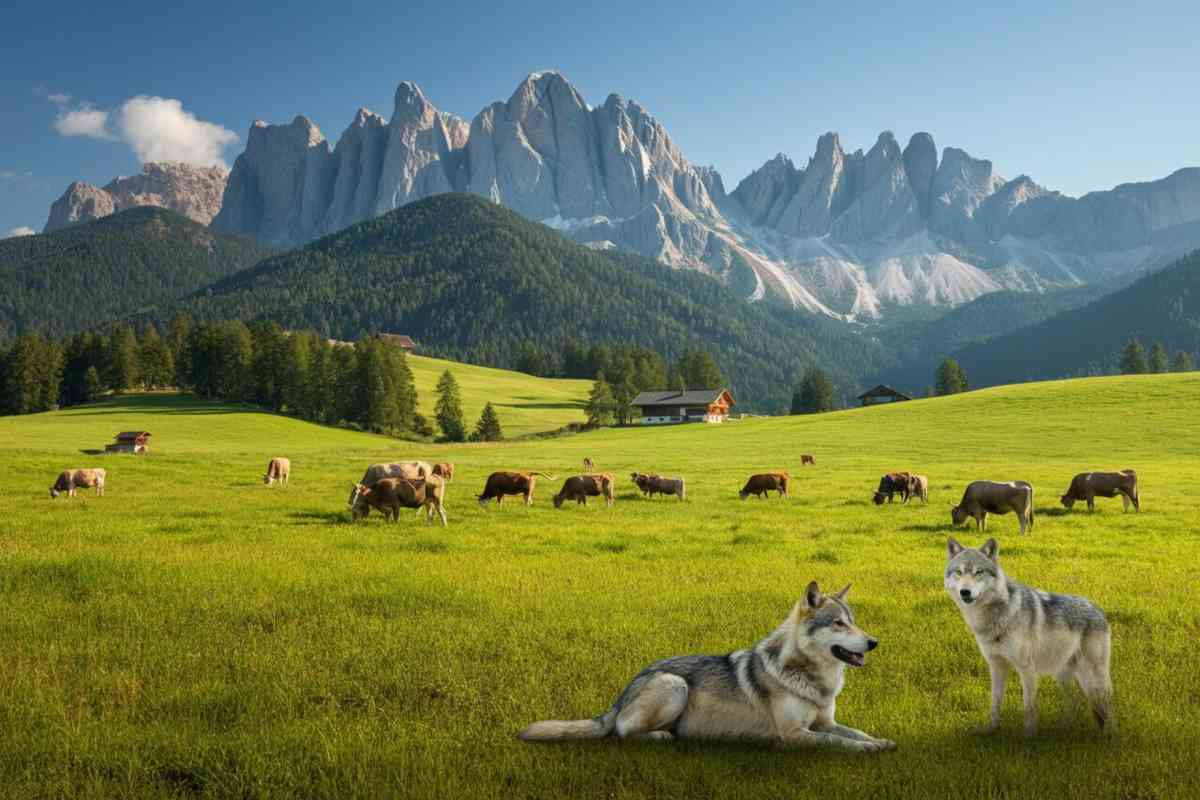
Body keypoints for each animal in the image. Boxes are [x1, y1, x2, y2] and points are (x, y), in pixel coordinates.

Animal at [517, 582, 895, 752]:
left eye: (854, 622)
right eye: (838, 624)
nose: (874, 642)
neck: (814, 679)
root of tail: (620, 695)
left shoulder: (825, 722)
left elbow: (853, 732)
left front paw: (881, 741)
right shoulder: (793, 735)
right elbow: (837, 742)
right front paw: (868, 749)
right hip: (674, 685)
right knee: (623, 733)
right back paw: (661, 735)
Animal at [944, 537, 1114, 737]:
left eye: (979, 572)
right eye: (959, 572)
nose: (965, 591)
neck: (996, 616)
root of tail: (1098, 608)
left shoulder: (1026, 669)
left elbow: (1029, 708)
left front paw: (1029, 738)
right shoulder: (996, 666)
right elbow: (995, 704)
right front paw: (990, 730)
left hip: (1093, 675)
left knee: (1107, 705)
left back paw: (1108, 734)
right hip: (1064, 675)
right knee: (1075, 703)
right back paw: (1063, 729)